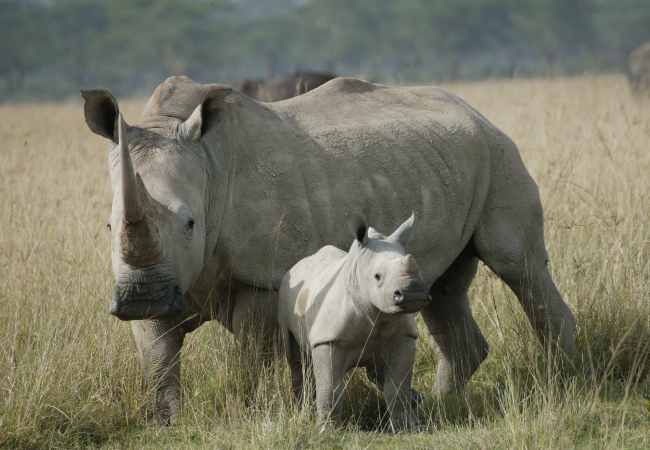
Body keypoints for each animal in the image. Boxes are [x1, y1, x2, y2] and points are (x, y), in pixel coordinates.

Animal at [278, 213, 430, 430]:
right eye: (377, 276)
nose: (413, 292)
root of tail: (297, 265)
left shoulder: (404, 336)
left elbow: (397, 387)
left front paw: (409, 428)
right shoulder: (328, 339)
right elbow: (331, 386)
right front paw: (327, 429)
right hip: (286, 293)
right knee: (295, 357)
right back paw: (304, 410)